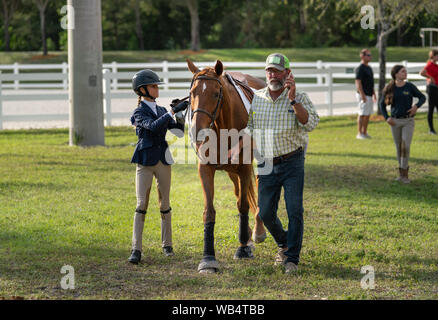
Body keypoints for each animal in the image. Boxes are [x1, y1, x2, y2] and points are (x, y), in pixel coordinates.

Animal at [186, 58, 266, 272]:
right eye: (192, 93)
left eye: (216, 93)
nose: (196, 130)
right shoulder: (205, 169)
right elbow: (209, 211)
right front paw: (208, 258)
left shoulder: (245, 167)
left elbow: (244, 205)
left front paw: (242, 248)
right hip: (231, 171)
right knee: (239, 190)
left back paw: (257, 231)